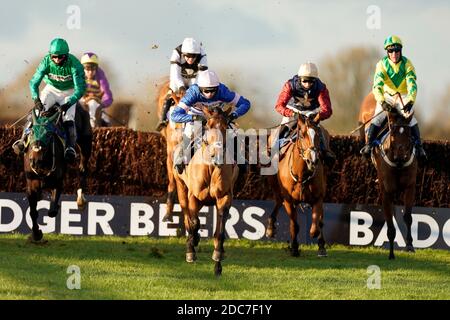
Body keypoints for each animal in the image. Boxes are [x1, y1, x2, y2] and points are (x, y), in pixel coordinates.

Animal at [25, 105, 91, 242]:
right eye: (32, 131)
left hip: (86, 144)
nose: (35, 160)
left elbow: (52, 211)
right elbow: (33, 211)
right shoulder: (31, 184)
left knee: (82, 169)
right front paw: (36, 233)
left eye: (49, 134)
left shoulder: (58, 182)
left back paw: (80, 200)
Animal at [174, 105, 239, 276]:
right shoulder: (193, 197)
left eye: (225, 126)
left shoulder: (224, 197)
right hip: (181, 188)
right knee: (187, 217)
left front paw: (218, 257)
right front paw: (192, 247)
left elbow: (220, 231)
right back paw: (191, 245)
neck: (210, 166)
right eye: (208, 126)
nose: (217, 155)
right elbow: (194, 222)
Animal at [266, 105, 328, 258]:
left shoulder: (318, 198)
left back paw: (322, 246)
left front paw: (318, 240)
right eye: (302, 135)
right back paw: (270, 227)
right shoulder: (289, 200)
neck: (301, 174)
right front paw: (294, 247)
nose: (313, 160)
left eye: (318, 136)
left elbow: (316, 225)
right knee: (278, 200)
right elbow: (294, 224)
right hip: (273, 181)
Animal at [358, 93, 418, 260]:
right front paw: (391, 252)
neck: (398, 164)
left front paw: (409, 245)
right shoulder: (386, 190)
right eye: (392, 133)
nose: (401, 156)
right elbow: (389, 220)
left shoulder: (410, 186)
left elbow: (408, 217)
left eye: (409, 133)